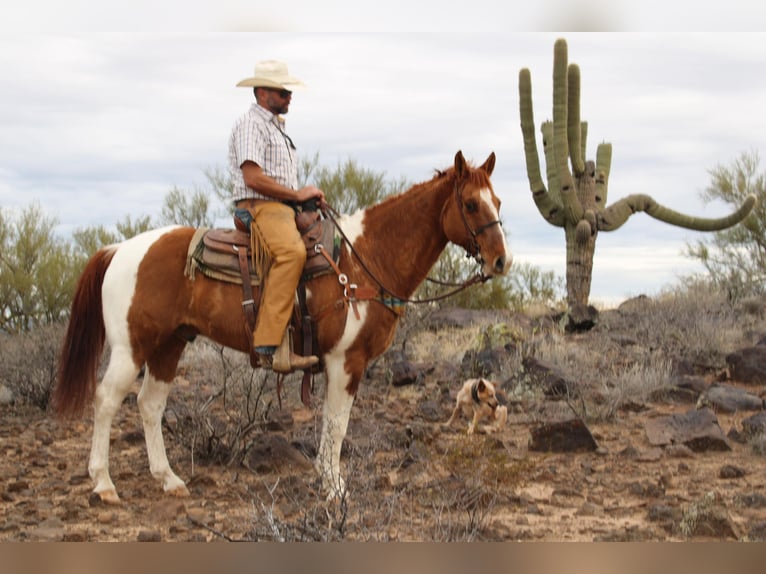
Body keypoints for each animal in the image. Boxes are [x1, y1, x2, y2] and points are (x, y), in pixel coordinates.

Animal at [52, 152, 510, 504]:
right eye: (471, 204)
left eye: (499, 202)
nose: (501, 261)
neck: (364, 260)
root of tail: (119, 249)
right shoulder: (346, 362)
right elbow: (337, 424)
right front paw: (335, 489)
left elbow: (331, 424)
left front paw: (327, 481)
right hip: (132, 347)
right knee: (106, 400)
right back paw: (104, 484)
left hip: (169, 345)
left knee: (149, 405)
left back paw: (169, 480)